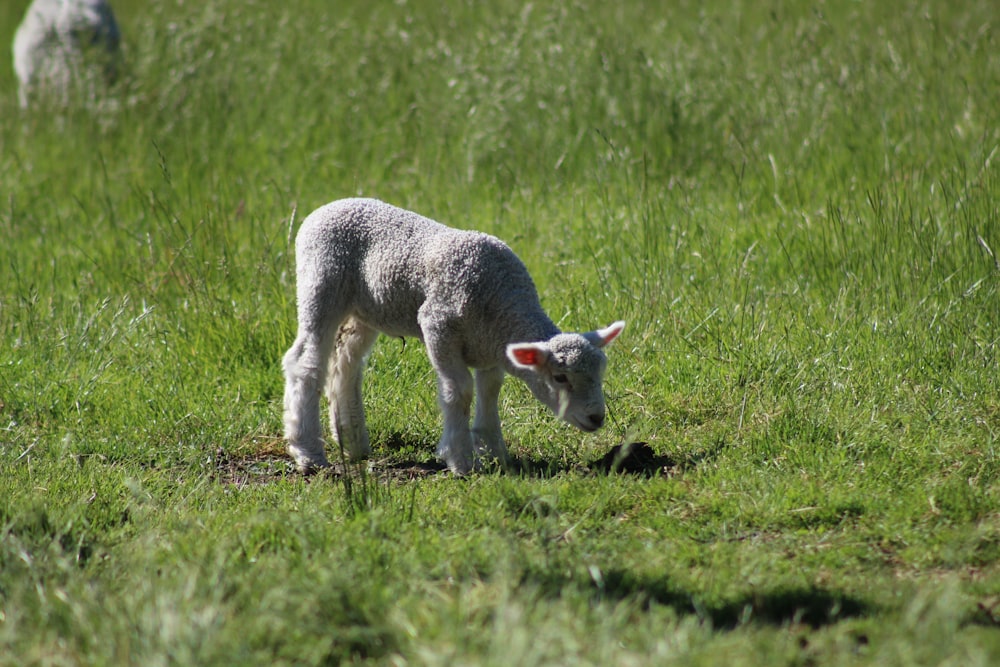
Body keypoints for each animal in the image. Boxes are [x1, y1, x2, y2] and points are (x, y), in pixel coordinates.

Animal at [282, 198, 624, 474]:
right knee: (305, 363)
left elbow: (490, 390)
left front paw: (495, 452)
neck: (503, 304)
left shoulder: (490, 344)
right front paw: (461, 459)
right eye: (559, 378)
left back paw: (352, 441)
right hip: (321, 282)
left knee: (346, 365)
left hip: (364, 311)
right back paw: (308, 451)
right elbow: (459, 392)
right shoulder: (437, 325)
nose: (597, 417)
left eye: (600, 373)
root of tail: (326, 207)